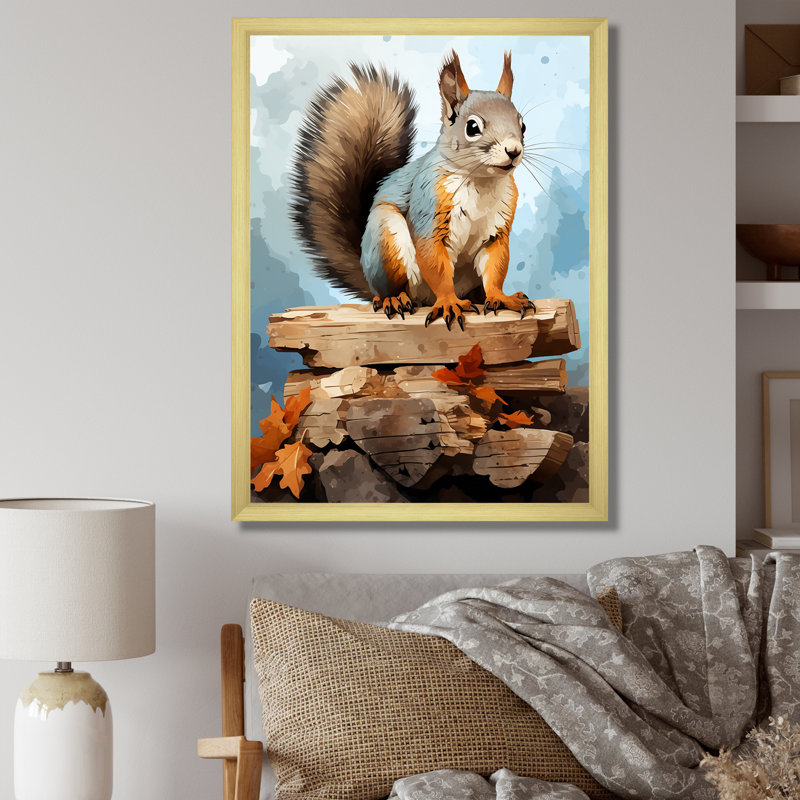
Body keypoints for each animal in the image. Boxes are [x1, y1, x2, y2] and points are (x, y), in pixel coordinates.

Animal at [289, 50, 534, 331]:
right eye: (472, 127)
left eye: (523, 126)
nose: (513, 151)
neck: (480, 181)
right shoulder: (429, 209)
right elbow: (435, 264)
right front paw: (449, 302)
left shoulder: (497, 230)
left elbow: (495, 268)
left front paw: (501, 298)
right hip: (386, 240)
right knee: (390, 289)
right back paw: (395, 299)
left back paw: (478, 296)